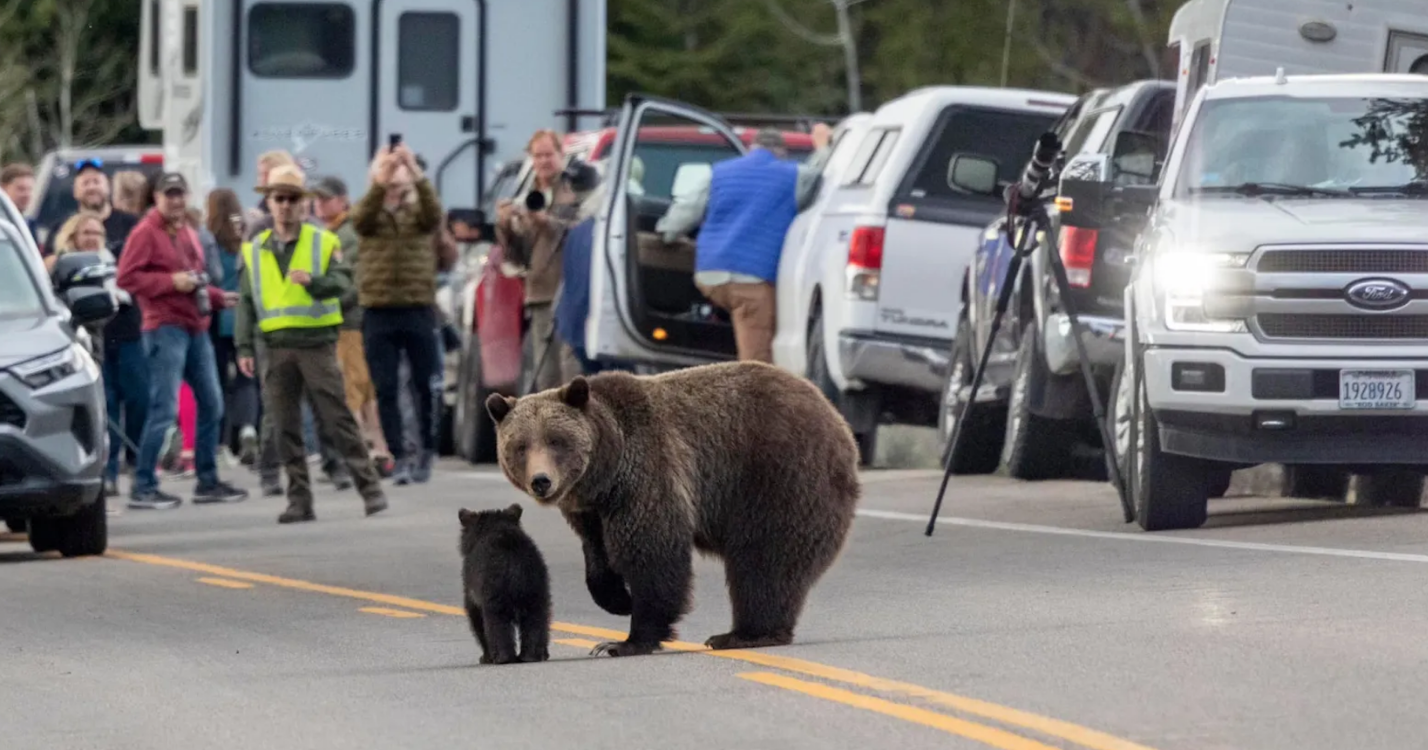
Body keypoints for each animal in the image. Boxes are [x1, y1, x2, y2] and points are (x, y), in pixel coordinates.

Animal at [458, 503, 553, 664]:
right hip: (536, 588)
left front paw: (485, 657)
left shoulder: (471, 583)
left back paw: (503, 657)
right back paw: (532, 655)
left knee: (496, 623)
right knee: (537, 619)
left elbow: (475, 615)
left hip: (494, 591)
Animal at [484, 360, 861, 657]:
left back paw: (744, 634)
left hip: (779, 478)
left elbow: (652, 552)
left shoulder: (646, 473)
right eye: (520, 446)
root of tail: (838, 421)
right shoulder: (591, 511)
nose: (541, 481)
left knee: (764, 561)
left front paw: (624, 641)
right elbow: (598, 555)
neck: (605, 473)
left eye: (556, 440)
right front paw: (617, 599)